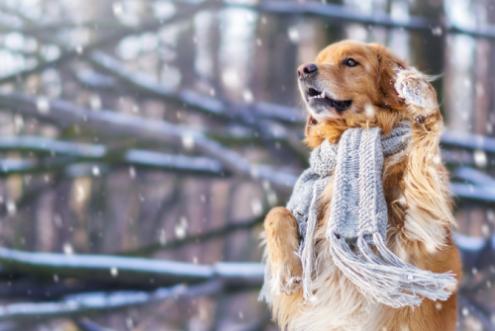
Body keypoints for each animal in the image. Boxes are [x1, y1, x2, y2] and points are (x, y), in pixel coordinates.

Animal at [262, 40, 464, 330]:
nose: (303, 70)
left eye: (350, 62)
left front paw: (416, 90)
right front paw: (287, 271)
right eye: (319, 59)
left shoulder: (418, 222)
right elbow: (276, 213)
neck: (353, 130)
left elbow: (421, 150)